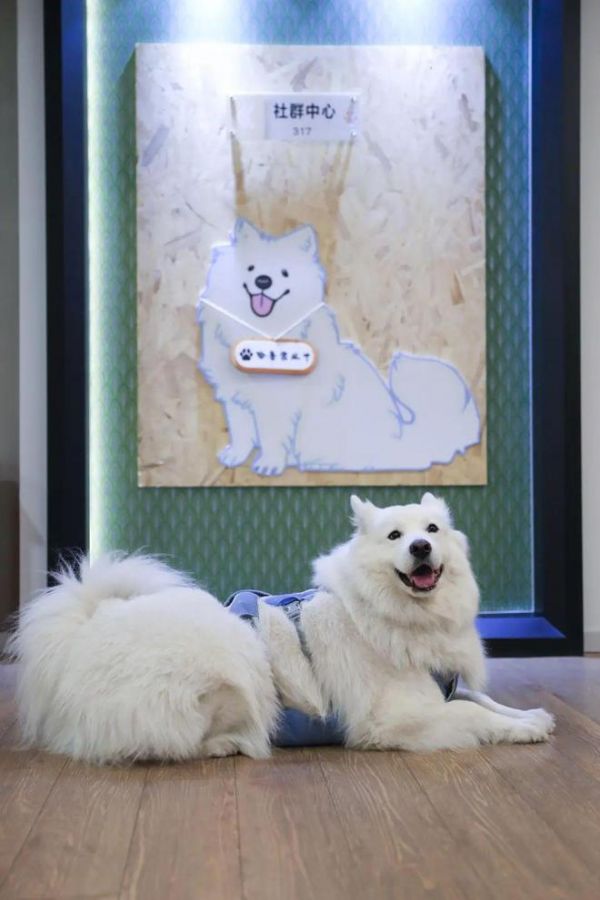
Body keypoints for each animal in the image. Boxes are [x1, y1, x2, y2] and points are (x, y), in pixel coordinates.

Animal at [9, 494, 554, 764]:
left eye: (433, 530)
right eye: (395, 536)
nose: (421, 547)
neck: (392, 615)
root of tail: (81, 637)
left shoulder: (441, 688)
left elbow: (480, 700)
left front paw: (530, 717)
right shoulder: (395, 719)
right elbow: (471, 715)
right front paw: (520, 731)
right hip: (227, 666)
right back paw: (228, 744)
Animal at [198, 219, 480, 475]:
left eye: (284, 273)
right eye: (250, 268)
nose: (263, 281)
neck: (263, 329)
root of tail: (404, 442)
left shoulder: (278, 405)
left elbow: (272, 437)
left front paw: (269, 464)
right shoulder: (235, 397)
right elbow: (241, 432)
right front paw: (235, 456)